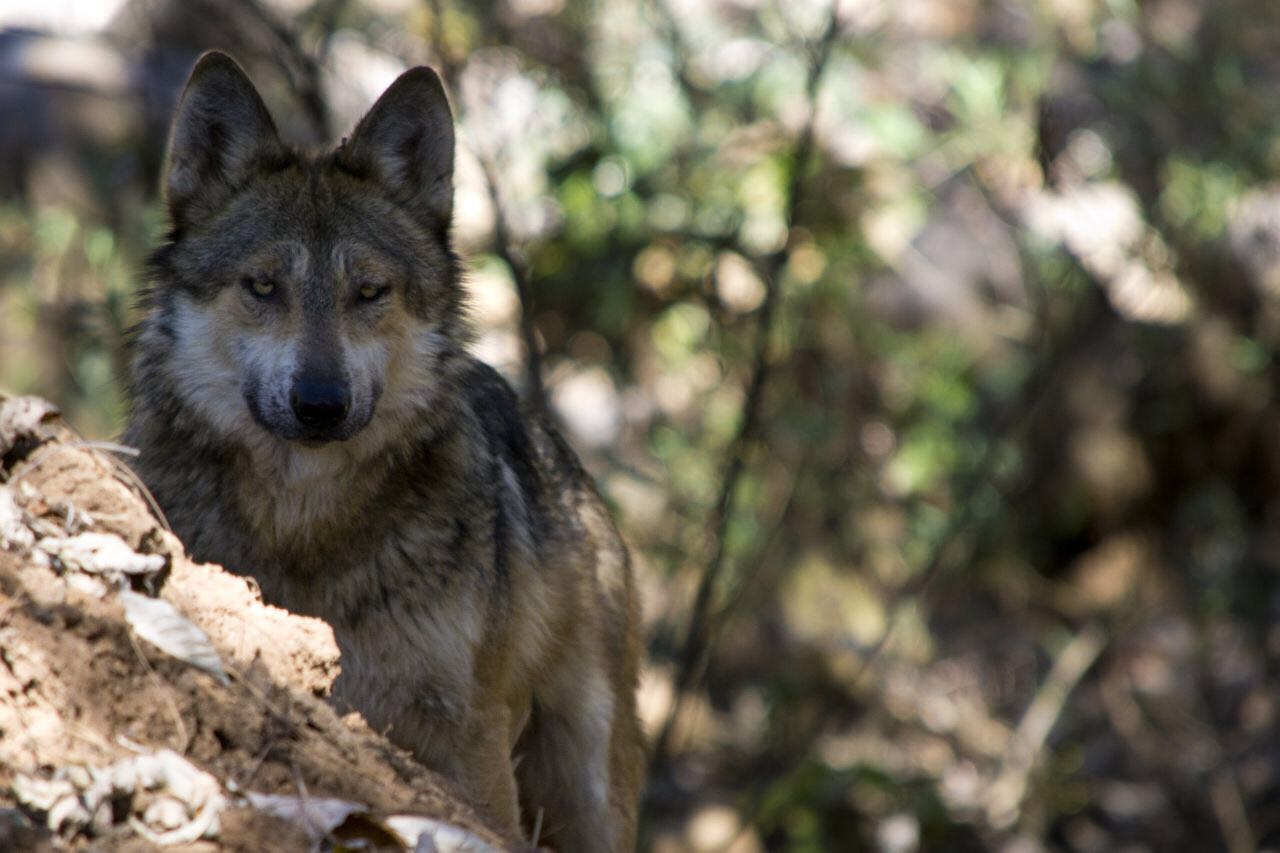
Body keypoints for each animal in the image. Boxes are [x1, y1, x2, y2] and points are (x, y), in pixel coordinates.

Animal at [123, 53, 645, 850]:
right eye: (262, 285)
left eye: (369, 291)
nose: (320, 403)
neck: (304, 525)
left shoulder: (469, 731)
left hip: (585, 780)